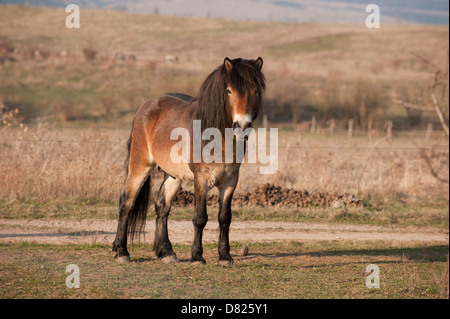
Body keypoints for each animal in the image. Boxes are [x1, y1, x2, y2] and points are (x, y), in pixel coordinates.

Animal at [112, 57, 266, 268]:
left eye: (255, 91)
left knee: (162, 205)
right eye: (229, 90)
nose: (242, 126)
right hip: (139, 166)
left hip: (173, 175)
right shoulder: (201, 180)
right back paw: (122, 252)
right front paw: (197, 257)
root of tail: (145, 107)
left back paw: (166, 252)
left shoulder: (230, 181)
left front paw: (225, 257)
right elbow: (200, 218)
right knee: (126, 202)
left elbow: (224, 218)